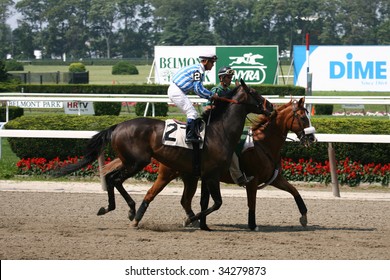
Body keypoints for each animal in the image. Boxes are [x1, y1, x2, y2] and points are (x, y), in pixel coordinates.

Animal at [54, 78, 274, 228]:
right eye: (254, 92)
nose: (271, 106)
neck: (219, 132)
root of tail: (117, 127)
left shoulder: (203, 175)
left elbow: (204, 202)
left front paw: (197, 222)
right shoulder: (211, 174)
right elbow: (217, 203)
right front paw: (190, 220)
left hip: (129, 161)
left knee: (110, 178)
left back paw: (109, 208)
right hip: (137, 162)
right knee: (116, 179)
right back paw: (132, 210)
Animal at [102, 97, 316, 231]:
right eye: (303, 117)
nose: (312, 138)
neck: (263, 144)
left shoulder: (274, 178)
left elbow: (295, 191)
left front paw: (304, 216)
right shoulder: (252, 181)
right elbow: (252, 203)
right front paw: (252, 224)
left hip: (190, 177)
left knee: (185, 201)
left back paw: (193, 219)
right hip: (167, 173)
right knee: (150, 194)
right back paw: (137, 216)